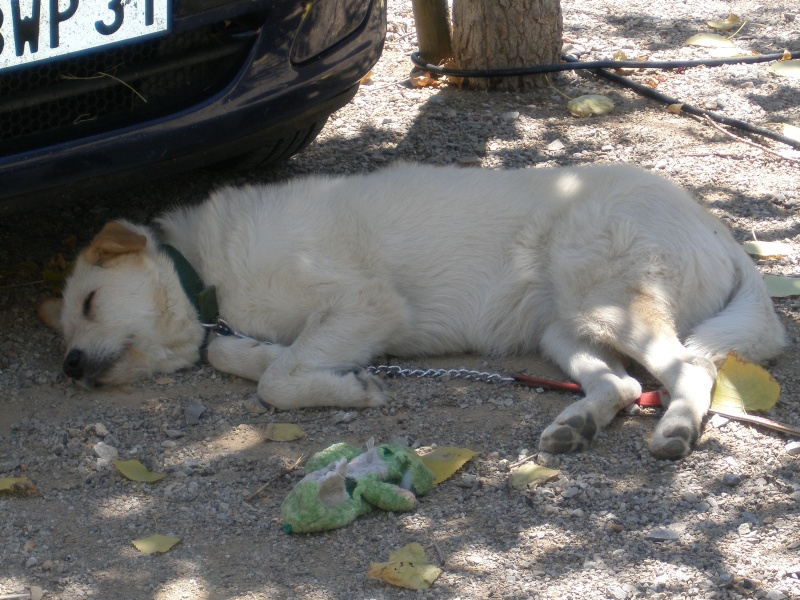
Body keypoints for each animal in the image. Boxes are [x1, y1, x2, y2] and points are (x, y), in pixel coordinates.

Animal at [40, 162, 784, 458]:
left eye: (91, 301)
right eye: (68, 327)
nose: (71, 365)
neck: (210, 274)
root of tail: (713, 222)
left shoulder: (367, 305)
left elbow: (277, 382)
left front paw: (352, 389)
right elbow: (238, 352)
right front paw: (284, 360)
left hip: (610, 305)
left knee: (690, 372)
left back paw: (675, 432)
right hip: (564, 328)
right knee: (624, 385)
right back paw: (574, 426)